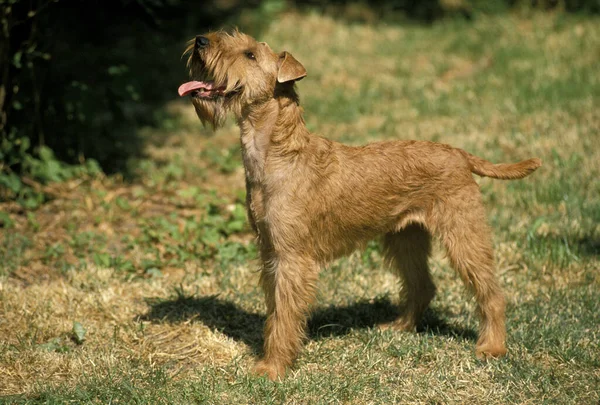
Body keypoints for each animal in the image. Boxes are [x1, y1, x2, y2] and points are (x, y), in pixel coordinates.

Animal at [177, 29, 540, 378]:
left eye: (250, 54)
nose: (201, 40)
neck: (277, 154)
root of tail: (461, 155)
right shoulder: (269, 250)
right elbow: (275, 311)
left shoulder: (291, 259)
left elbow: (284, 316)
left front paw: (272, 368)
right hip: (405, 238)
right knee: (422, 286)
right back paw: (398, 327)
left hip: (463, 233)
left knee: (491, 293)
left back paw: (492, 347)